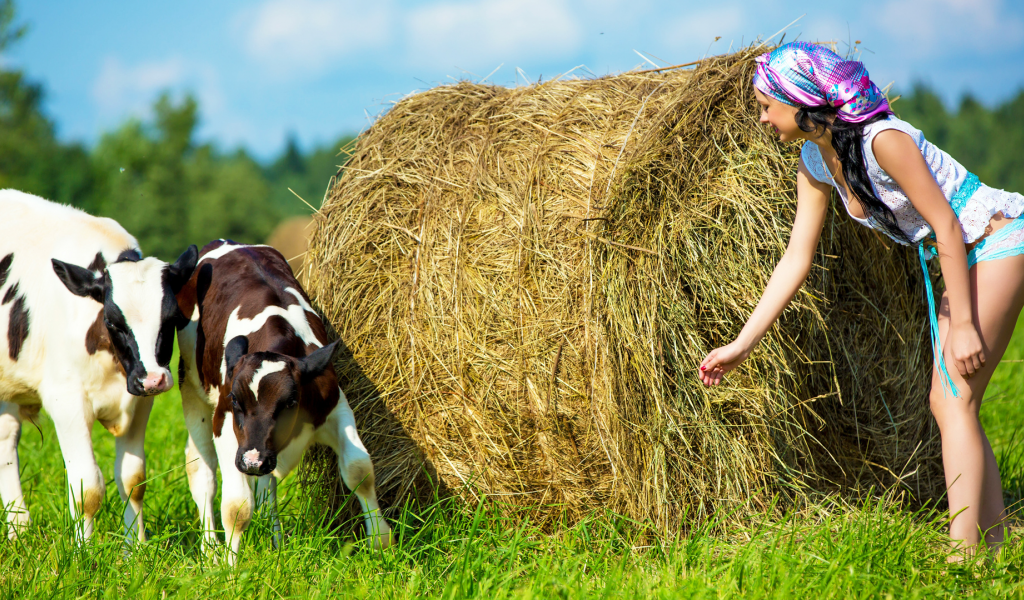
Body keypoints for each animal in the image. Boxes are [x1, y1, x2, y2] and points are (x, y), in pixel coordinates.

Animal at [0, 189, 195, 540]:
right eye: (113, 322)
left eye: (172, 318)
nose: (153, 379)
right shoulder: (66, 401)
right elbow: (87, 487)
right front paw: (83, 549)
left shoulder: (140, 402)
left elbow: (133, 480)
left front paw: (136, 547)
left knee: (5, 439)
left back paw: (19, 529)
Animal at [174, 239, 389, 561]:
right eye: (236, 401)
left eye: (290, 403)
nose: (252, 461)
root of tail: (227, 242)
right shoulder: (226, 427)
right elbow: (237, 506)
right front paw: (230, 564)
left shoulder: (337, 409)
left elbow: (359, 470)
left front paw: (381, 542)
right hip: (192, 393)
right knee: (203, 474)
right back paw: (210, 549)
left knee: (267, 490)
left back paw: (276, 545)